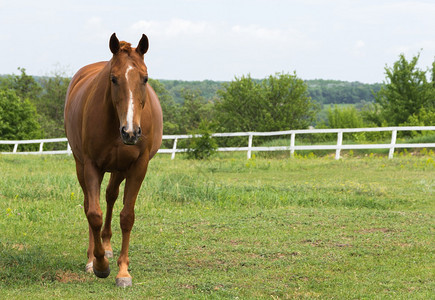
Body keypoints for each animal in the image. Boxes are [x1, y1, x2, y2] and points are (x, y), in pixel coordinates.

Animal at [63, 32, 162, 286]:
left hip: (119, 169)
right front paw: (99, 265)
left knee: (110, 196)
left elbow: (127, 216)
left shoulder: (138, 167)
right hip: (81, 166)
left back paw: (107, 246)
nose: (131, 132)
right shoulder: (91, 165)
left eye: (145, 78)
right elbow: (94, 214)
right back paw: (94, 257)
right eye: (114, 79)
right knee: (90, 204)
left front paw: (123, 271)